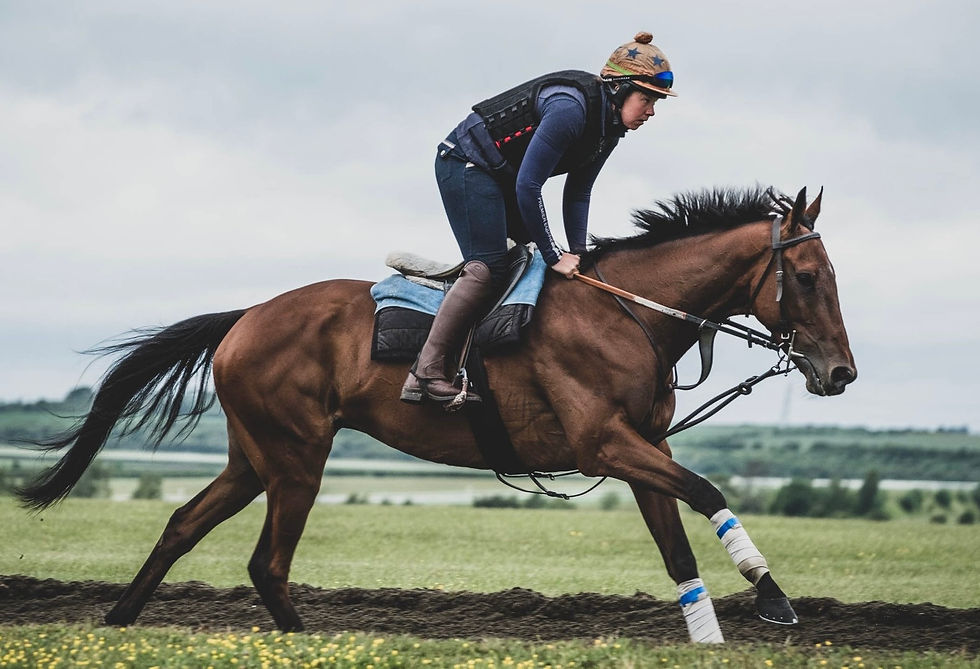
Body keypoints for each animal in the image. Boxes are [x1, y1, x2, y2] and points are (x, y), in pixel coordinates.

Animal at [19, 185, 856, 643]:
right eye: (811, 277)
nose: (840, 371)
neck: (627, 312)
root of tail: (245, 317)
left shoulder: (643, 447)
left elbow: (678, 549)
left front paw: (712, 634)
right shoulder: (604, 443)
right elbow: (710, 491)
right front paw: (774, 598)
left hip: (252, 456)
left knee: (184, 524)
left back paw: (120, 617)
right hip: (296, 457)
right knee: (267, 561)